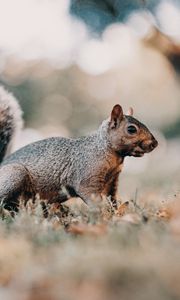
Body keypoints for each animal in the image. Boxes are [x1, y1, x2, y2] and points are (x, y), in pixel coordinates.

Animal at [0, 84, 158, 211]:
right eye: (131, 129)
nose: (154, 143)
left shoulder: (113, 181)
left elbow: (112, 198)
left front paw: (116, 212)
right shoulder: (87, 177)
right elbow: (92, 197)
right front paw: (103, 215)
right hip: (15, 175)